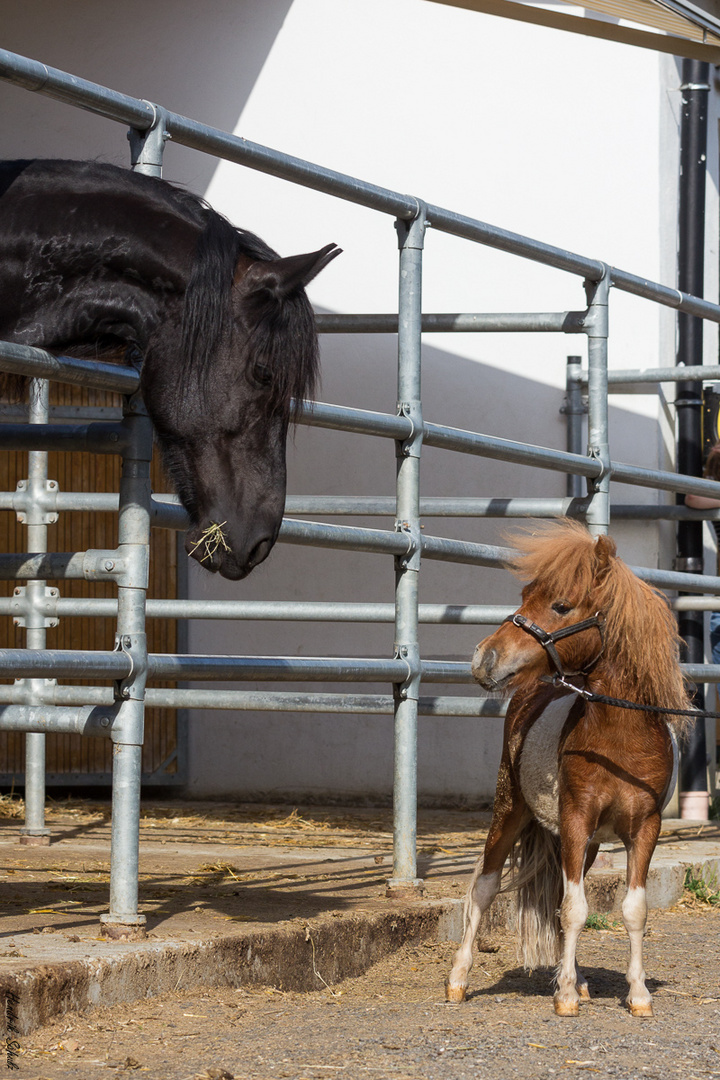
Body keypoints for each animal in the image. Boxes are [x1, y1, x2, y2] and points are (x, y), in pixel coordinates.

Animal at [446, 527, 690, 1015]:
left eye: (560, 605)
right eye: (525, 595)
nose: (484, 658)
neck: (620, 738)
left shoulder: (644, 828)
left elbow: (632, 910)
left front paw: (637, 995)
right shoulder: (577, 818)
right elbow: (575, 909)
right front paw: (563, 997)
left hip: (585, 843)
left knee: (558, 897)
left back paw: (575, 978)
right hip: (510, 812)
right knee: (484, 887)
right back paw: (459, 981)